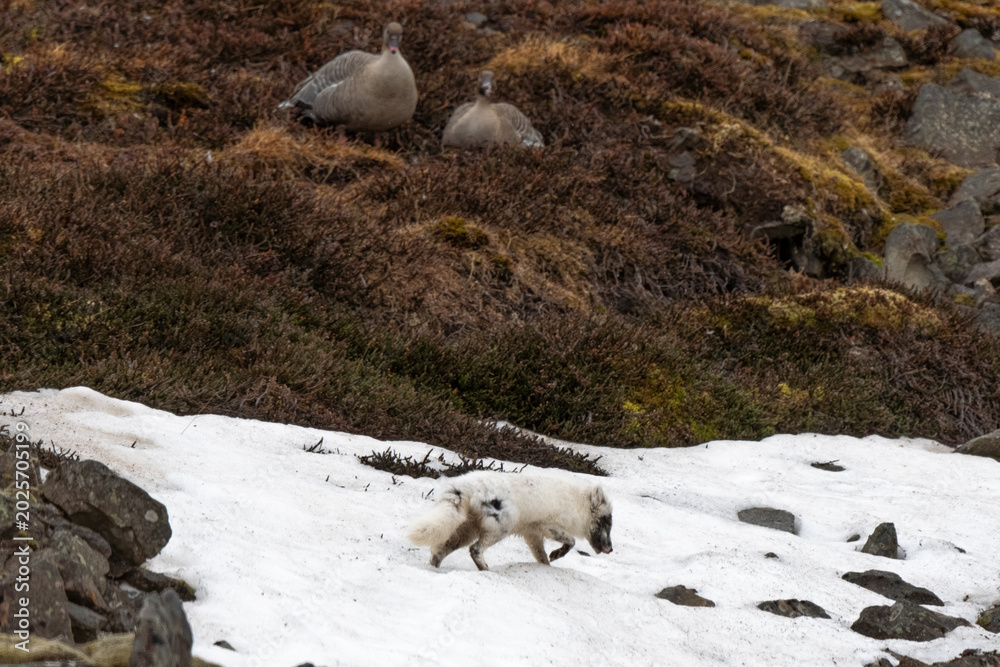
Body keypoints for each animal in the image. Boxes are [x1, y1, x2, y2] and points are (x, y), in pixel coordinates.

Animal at [407, 470, 613, 571]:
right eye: (606, 521)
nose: (611, 549)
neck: (577, 503)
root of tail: (465, 486)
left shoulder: (532, 535)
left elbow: (541, 557)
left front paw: (547, 566)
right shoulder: (545, 525)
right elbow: (571, 541)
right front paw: (557, 554)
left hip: (465, 531)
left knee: (439, 551)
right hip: (501, 528)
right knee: (475, 549)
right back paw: (486, 569)